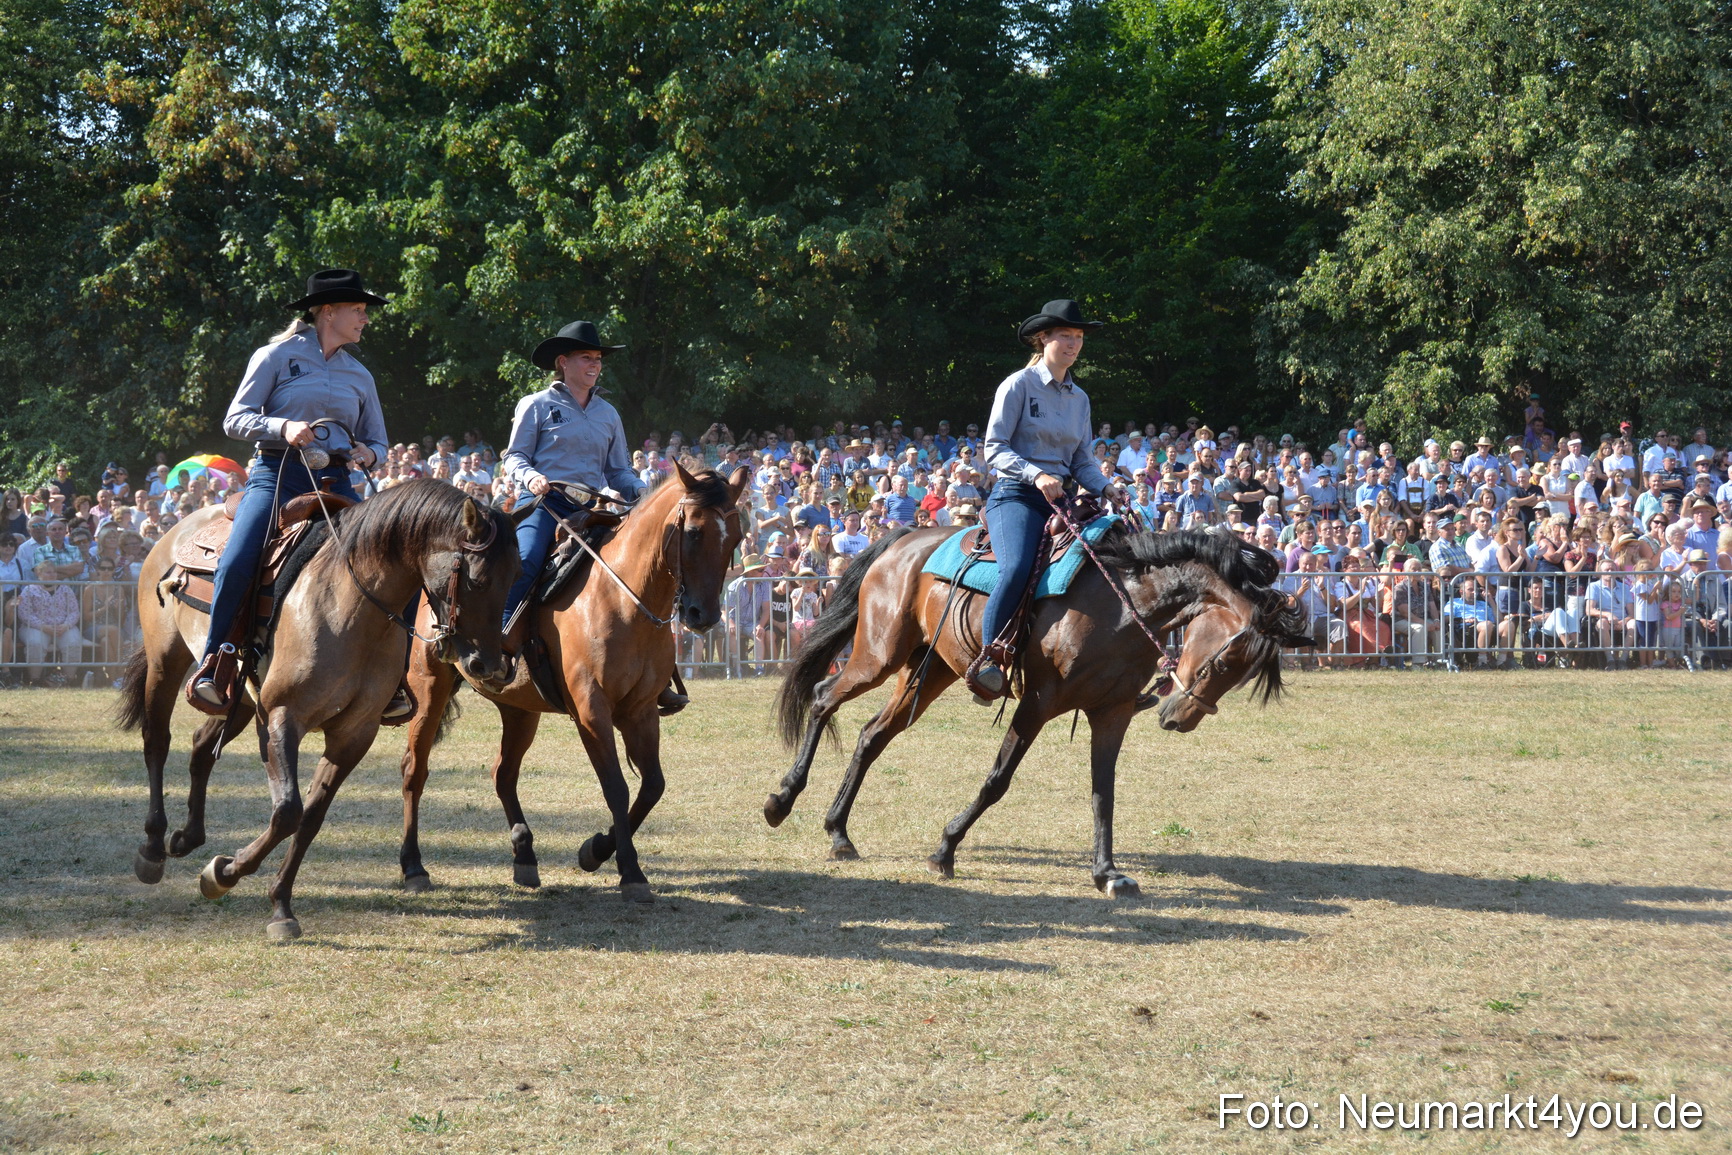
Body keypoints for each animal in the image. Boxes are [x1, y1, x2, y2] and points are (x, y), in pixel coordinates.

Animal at [116, 479, 518, 940]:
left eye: (515, 577)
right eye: (476, 579)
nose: (489, 665)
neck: (348, 606)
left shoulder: (353, 734)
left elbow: (309, 817)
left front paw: (279, 904)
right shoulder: (282, 715)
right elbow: (287, 811)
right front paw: (224, 874)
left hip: (238, 697)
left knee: (201, 746)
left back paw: (187, 837)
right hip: (166, 662)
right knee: (156, 742)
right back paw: (153, 846)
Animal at [396, 462, 748, 903]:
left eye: (736, 537)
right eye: (695, 531)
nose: (704, 615)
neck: (622, 597)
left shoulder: (641, 711)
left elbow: (652, 786)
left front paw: (596, 850)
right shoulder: (591, 710)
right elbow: (616, 786)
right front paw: (630, 872)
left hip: (519, 710)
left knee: (503, 773)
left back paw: (524, 856)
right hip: (430, 690)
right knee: (415, 770)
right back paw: (413, 866)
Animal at [766, 524, 1314, 896]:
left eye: (1240, 674)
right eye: (1224, 659)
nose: (1179, 719)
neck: (1123, 606)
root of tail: (903, 541)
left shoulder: (1112, 712)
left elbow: (1103, 794)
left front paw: (1107, 874)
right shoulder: (1037, 702)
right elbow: (997, 780)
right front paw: (945, 849)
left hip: (927, 670)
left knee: (871, 736)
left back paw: (839, 833)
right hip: (878, 655)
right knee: (823, 697)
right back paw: (781, 801)